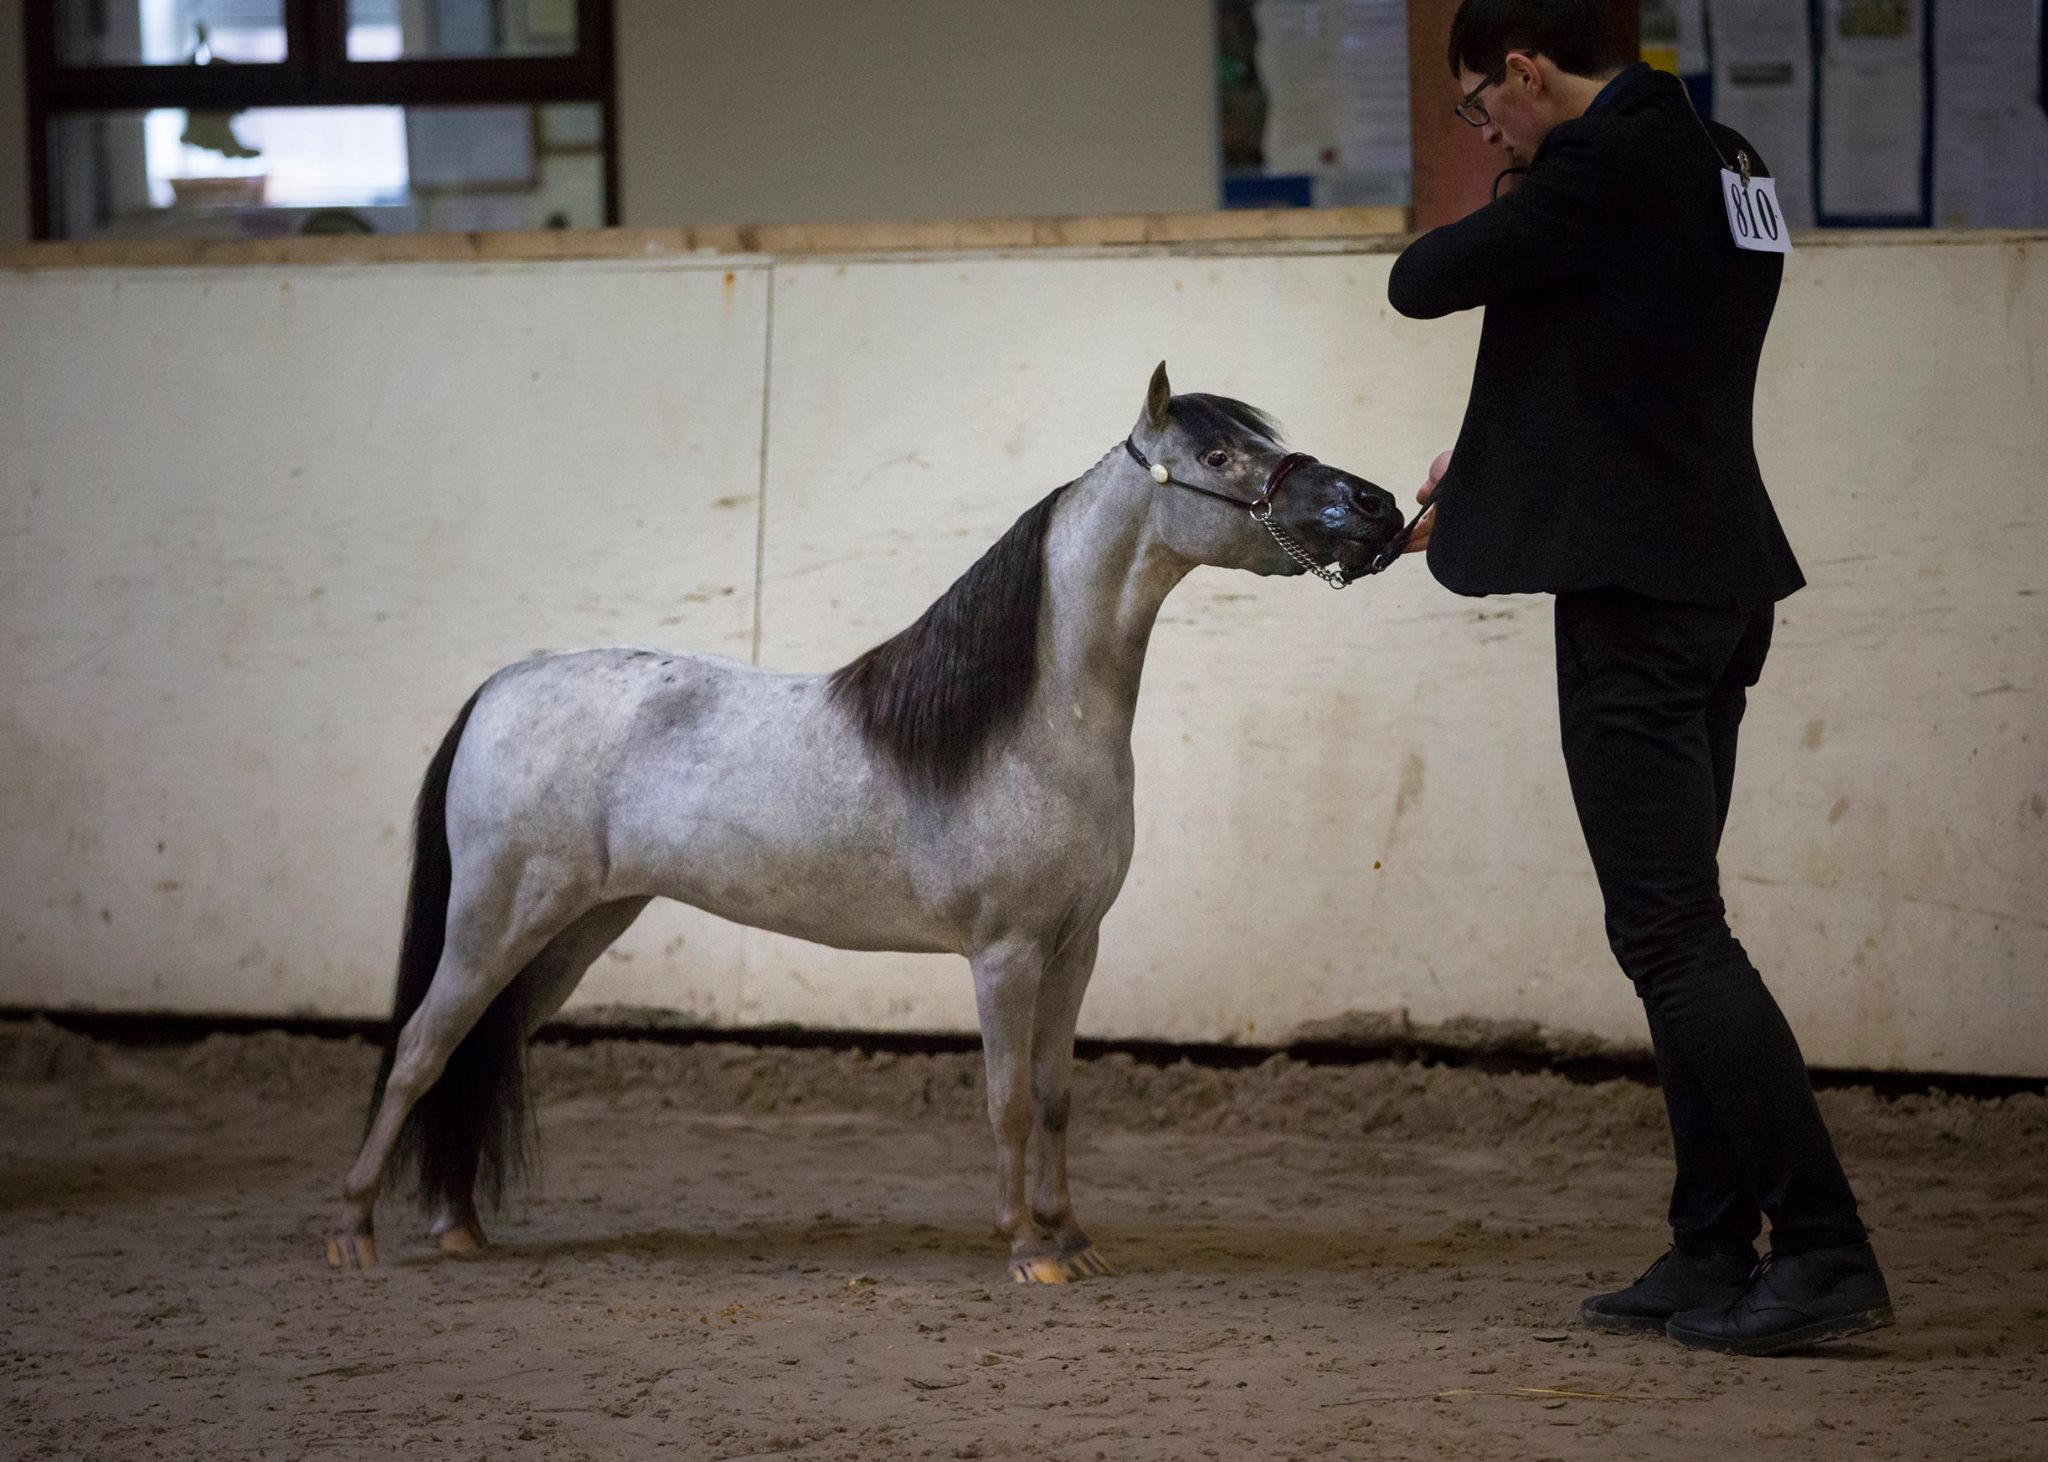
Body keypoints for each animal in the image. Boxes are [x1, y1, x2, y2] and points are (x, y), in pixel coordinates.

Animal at [326, 362, 1403, 1283]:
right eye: (1219, 456)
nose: (1375, 507)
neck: (1028, 726)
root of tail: (502, 687)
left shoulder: (1075, 950)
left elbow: (1055, 1097)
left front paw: (1073, 1238)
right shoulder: (1006, 953)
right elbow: (1006, 1102)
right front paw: (1026, 1248)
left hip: (576, 930)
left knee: (479, 1048)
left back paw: (456, 1225)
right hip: (499, 919)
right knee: (422, 1047)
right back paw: (355, 1233)